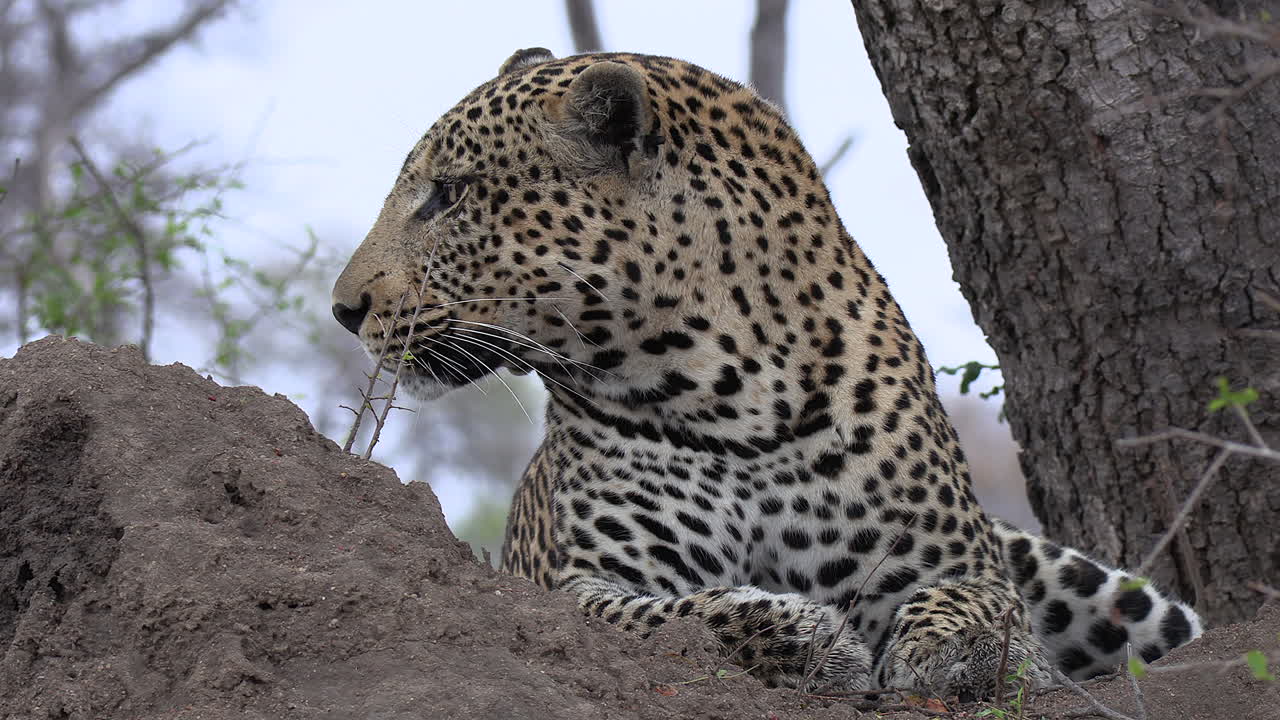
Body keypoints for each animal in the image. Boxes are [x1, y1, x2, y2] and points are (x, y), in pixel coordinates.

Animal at [330, 48, 1202, 699]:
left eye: (450, 194)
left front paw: (960, 652)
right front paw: (810, 637)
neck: (731, 395)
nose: (343, 309)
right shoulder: (575, 585)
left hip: (1083, 576)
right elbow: (685, 614)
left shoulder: (960, 560)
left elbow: (976, 603)